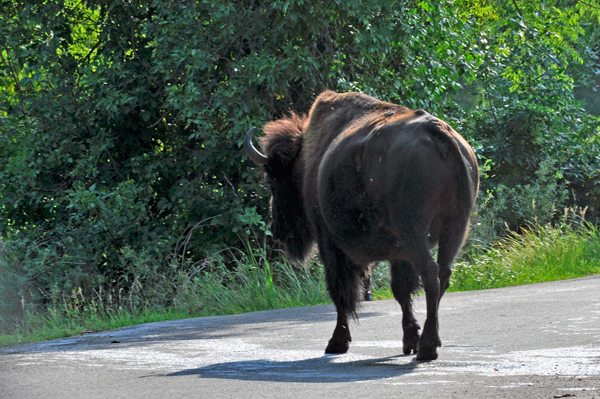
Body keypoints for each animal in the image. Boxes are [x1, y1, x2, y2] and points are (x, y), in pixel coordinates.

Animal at [244, 92, 478, 360]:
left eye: (273, 180)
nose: (277, 230)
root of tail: (437, 132)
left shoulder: (329, 243)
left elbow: (340, 292)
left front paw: (337, 343)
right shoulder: (399, 253)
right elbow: (401, 290)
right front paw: (409, 340)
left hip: (414, 230)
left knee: (429, 273)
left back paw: (428, 347)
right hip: (455, 227)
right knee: (443, 274)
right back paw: (430, 341)